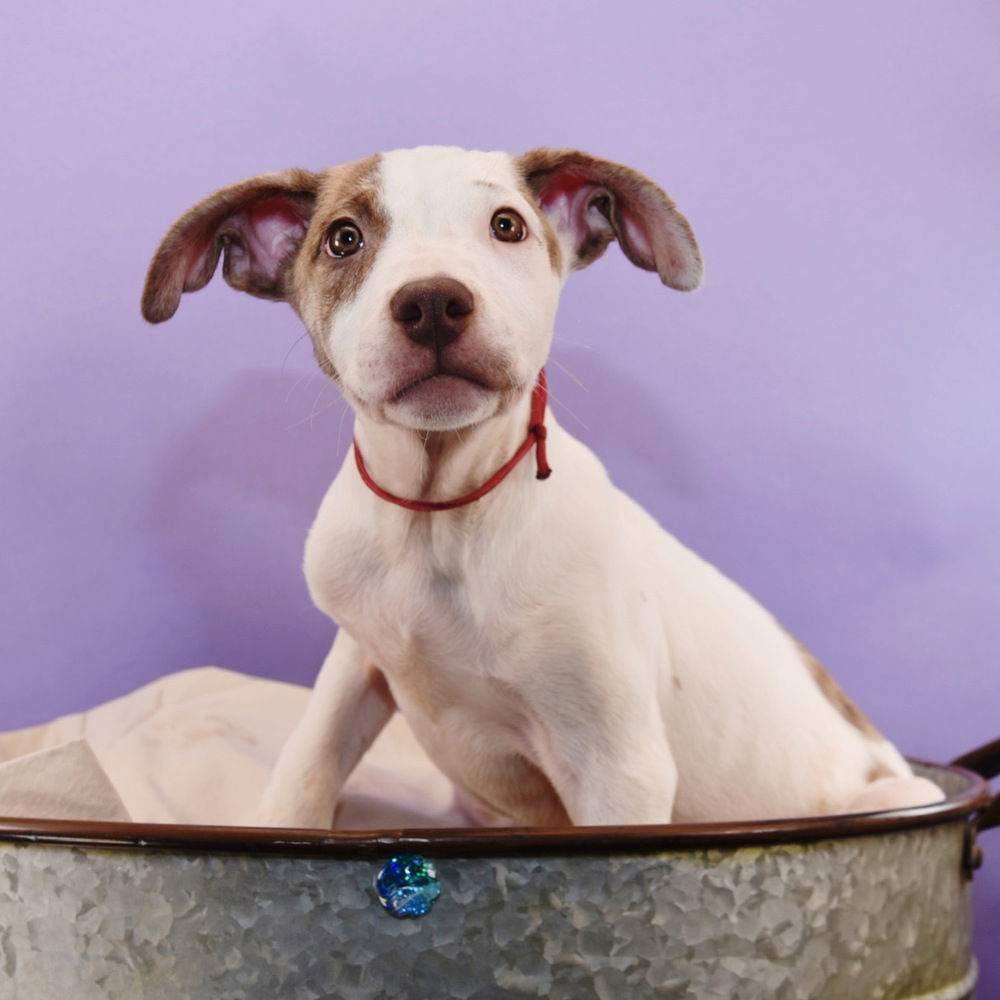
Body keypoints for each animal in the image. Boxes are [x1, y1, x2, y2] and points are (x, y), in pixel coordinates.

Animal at [139, 143, 936, 828]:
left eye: (507, 226)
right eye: (342, 239)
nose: (433, 303)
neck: (438, 513)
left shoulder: (619, 769)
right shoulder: (357, 660)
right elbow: (306, 764)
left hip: (894, 796)